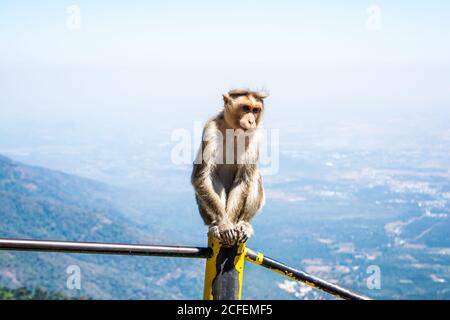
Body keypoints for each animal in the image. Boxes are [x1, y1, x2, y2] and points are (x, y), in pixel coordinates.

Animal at [190, 89, 268, 246]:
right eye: (246, 108)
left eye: (255, 110)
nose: (251, 121)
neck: (234, 130)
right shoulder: (210, 128)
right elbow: (202, 176)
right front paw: (225, 225)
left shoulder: (255, 137)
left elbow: (243, 180)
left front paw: (230, 223)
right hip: (204, 214)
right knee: (212, 176)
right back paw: (215, 226)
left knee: (254, 175)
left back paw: (243, 224)